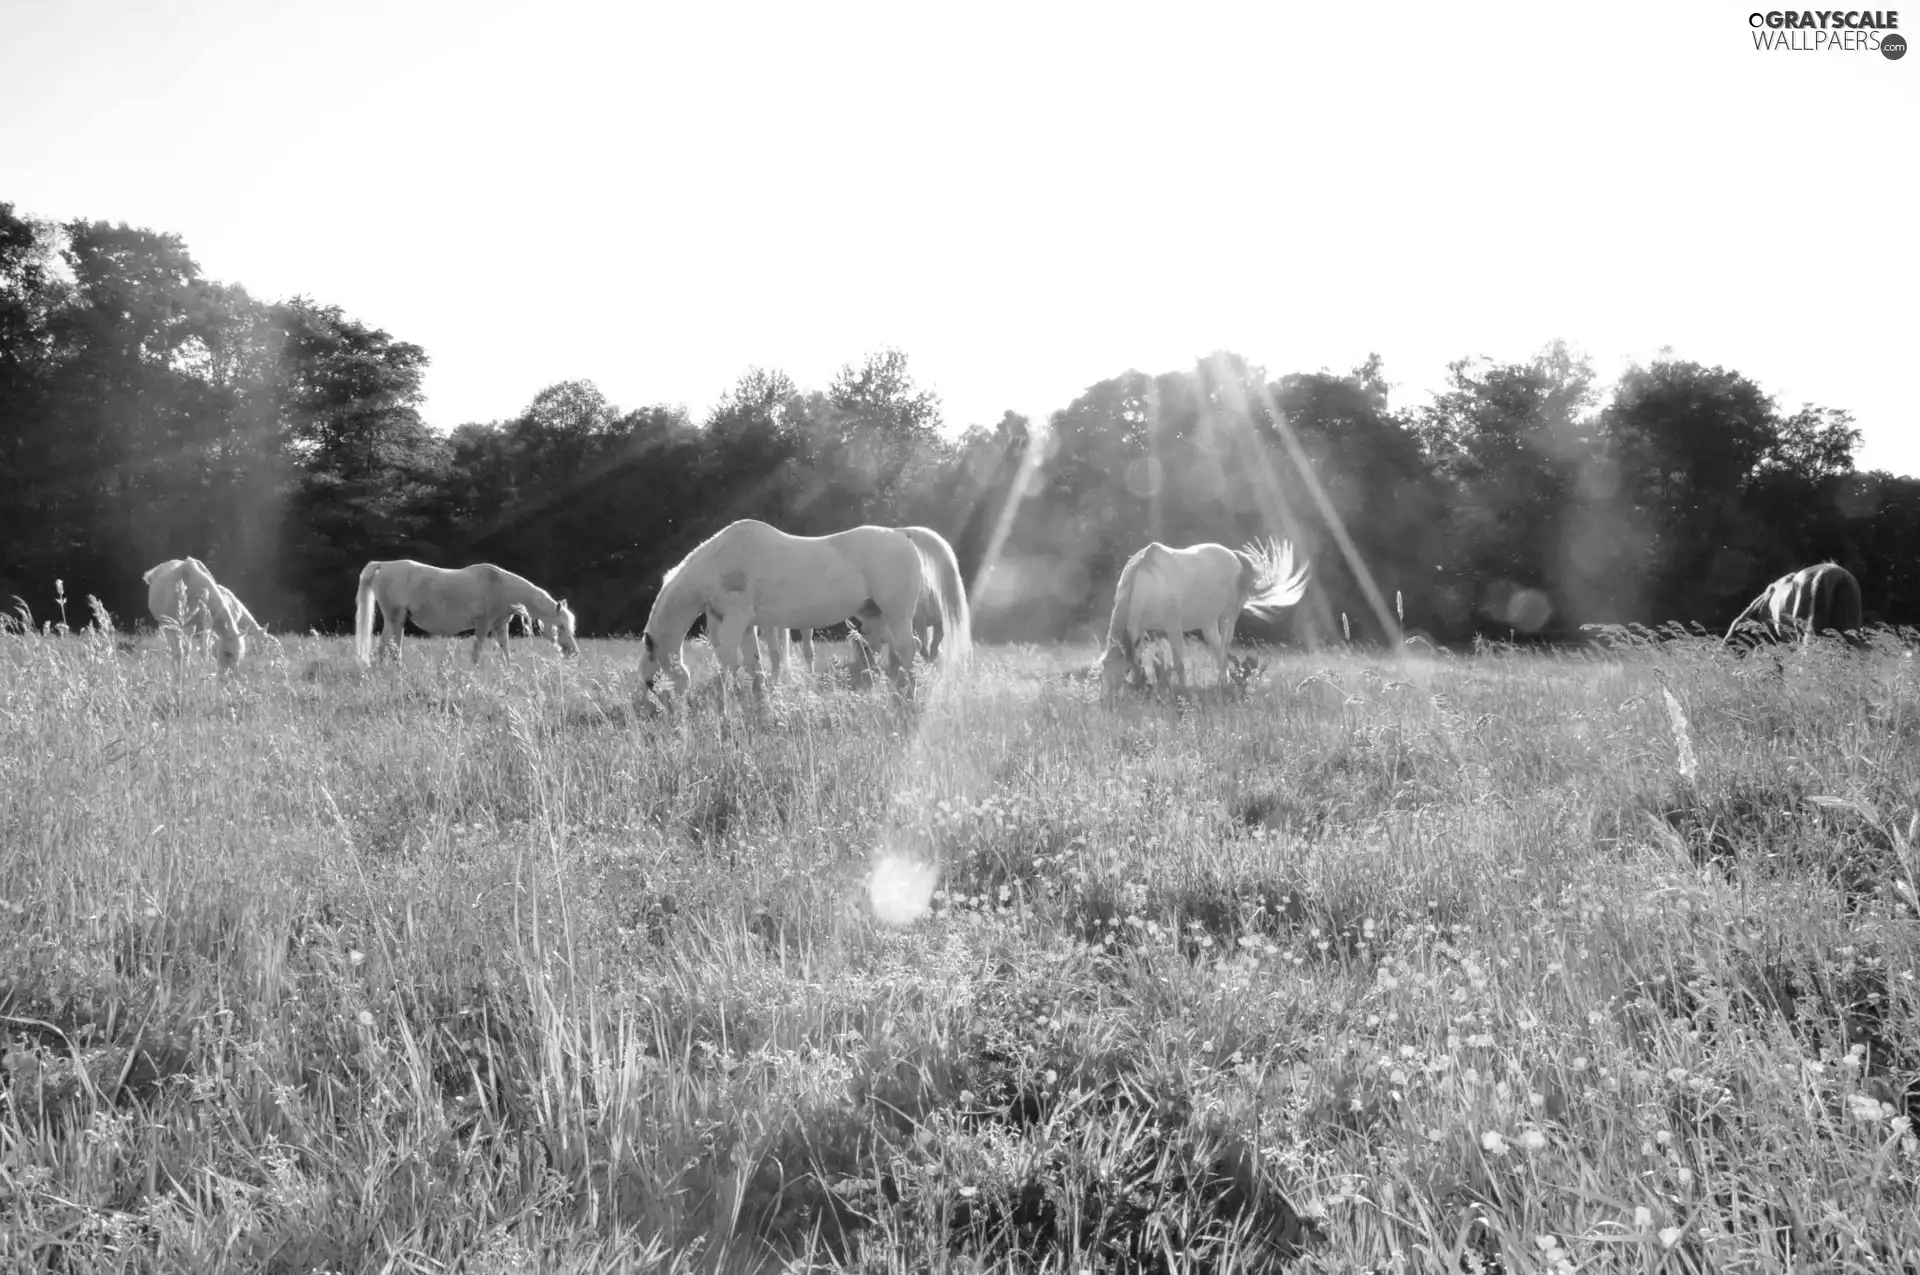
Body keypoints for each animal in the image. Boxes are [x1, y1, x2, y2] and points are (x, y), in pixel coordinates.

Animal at [355, 564, 576, 672]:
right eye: (560, 626)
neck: (501, 586)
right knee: (388, 646)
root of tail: (383, 565)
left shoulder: (500, 626)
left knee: (389, 646)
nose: (573, 652)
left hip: (396, 621)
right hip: (395, 618)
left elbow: (505, 652)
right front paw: (473, 673)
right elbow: (476, 652)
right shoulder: (483, 625)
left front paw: (509, 671)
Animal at [641, 522, 975, 710]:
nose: (655, 710)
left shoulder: (737, 619)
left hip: (897, 614)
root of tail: (901, 534)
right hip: (877, 616)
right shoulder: (746, 624)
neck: (722, 563)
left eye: (650, 683)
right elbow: (753, 664)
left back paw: (906, 698)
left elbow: (727, 661)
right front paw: (759, 700)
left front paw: (725, 704)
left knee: (908, 650)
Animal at [1105, 537, 1313, 698]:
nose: (1108, 703)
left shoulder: (1173, 627)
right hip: (1208, 621)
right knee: (1217, 646)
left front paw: (1183, 691)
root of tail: (1234, 555)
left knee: (1225, 645)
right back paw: (1223, 681)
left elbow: (1179, 663)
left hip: (1228, 616)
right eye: (1103, 674)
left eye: (1120, 673)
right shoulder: (1141, 631)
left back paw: (1223, 682)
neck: (1147, 581)